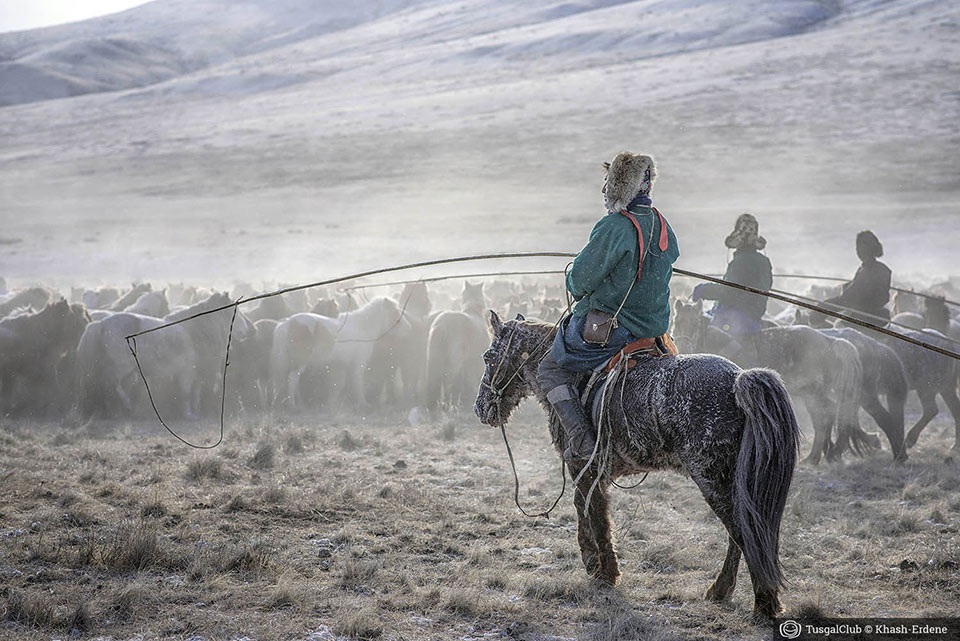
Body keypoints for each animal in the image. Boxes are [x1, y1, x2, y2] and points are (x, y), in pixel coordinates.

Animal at [474, 312, 799, 620]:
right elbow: (594, 512)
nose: (480, 408)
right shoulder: (599, 473)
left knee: (744, 533)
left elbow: (592, 512)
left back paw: (765, 604)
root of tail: (738, 378)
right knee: (741, 533)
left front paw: (602, 571)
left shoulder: (584, 467)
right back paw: (721, 591)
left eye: (489, 357)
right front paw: (600, 566)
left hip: (711, 479)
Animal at [673, 300, 864, 464]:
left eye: (695, 323)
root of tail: (830, 341)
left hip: (814, 392)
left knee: (823, 417)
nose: (684, 347)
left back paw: (814, 457)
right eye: (677, 321)